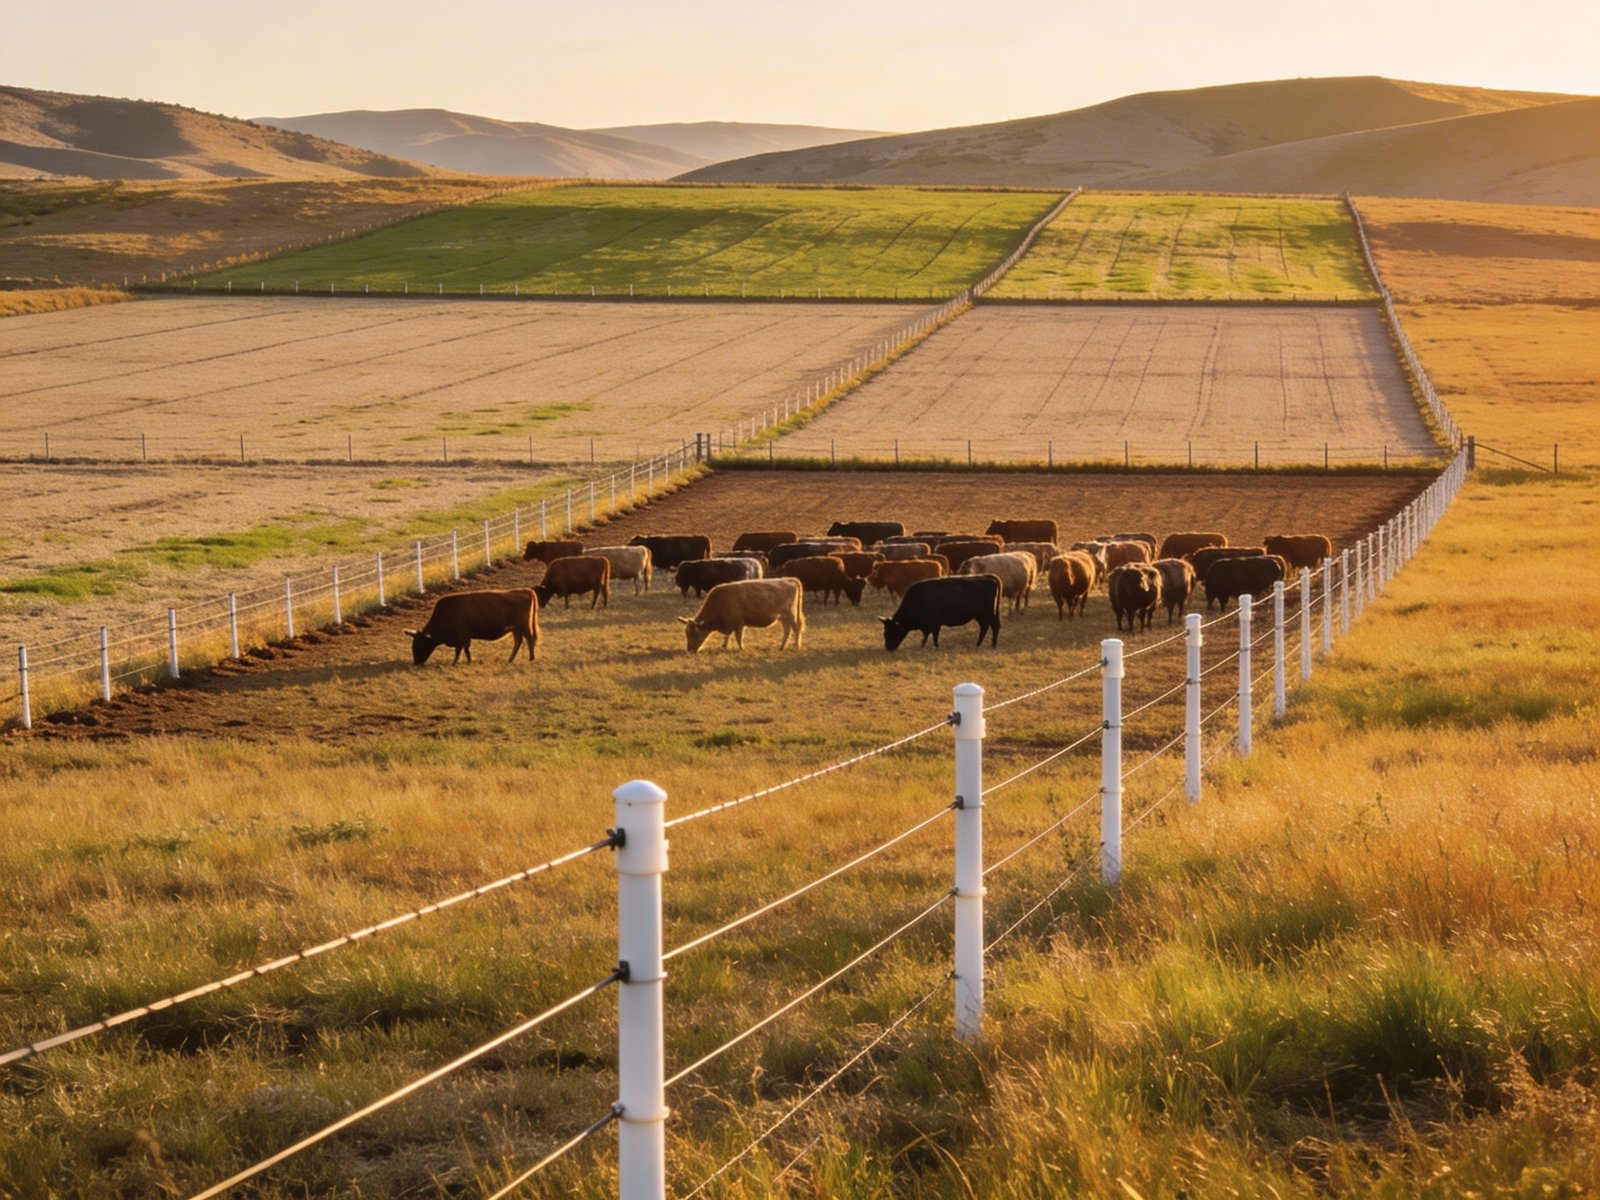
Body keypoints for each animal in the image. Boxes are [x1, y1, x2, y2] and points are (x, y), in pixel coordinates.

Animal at [406, 588, 539, 666]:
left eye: (422, 644)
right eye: (413, 645)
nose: (416, 662)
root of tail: (524, 591)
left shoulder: (462, 636)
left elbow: (461, 650)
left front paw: (455, 662)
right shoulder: (464, 637)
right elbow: (465, 650)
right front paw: (468, 661)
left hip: (523, 626)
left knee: (530, 639)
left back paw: (531, 658)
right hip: (516, 629)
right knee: (518, 642)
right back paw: (510, 660)